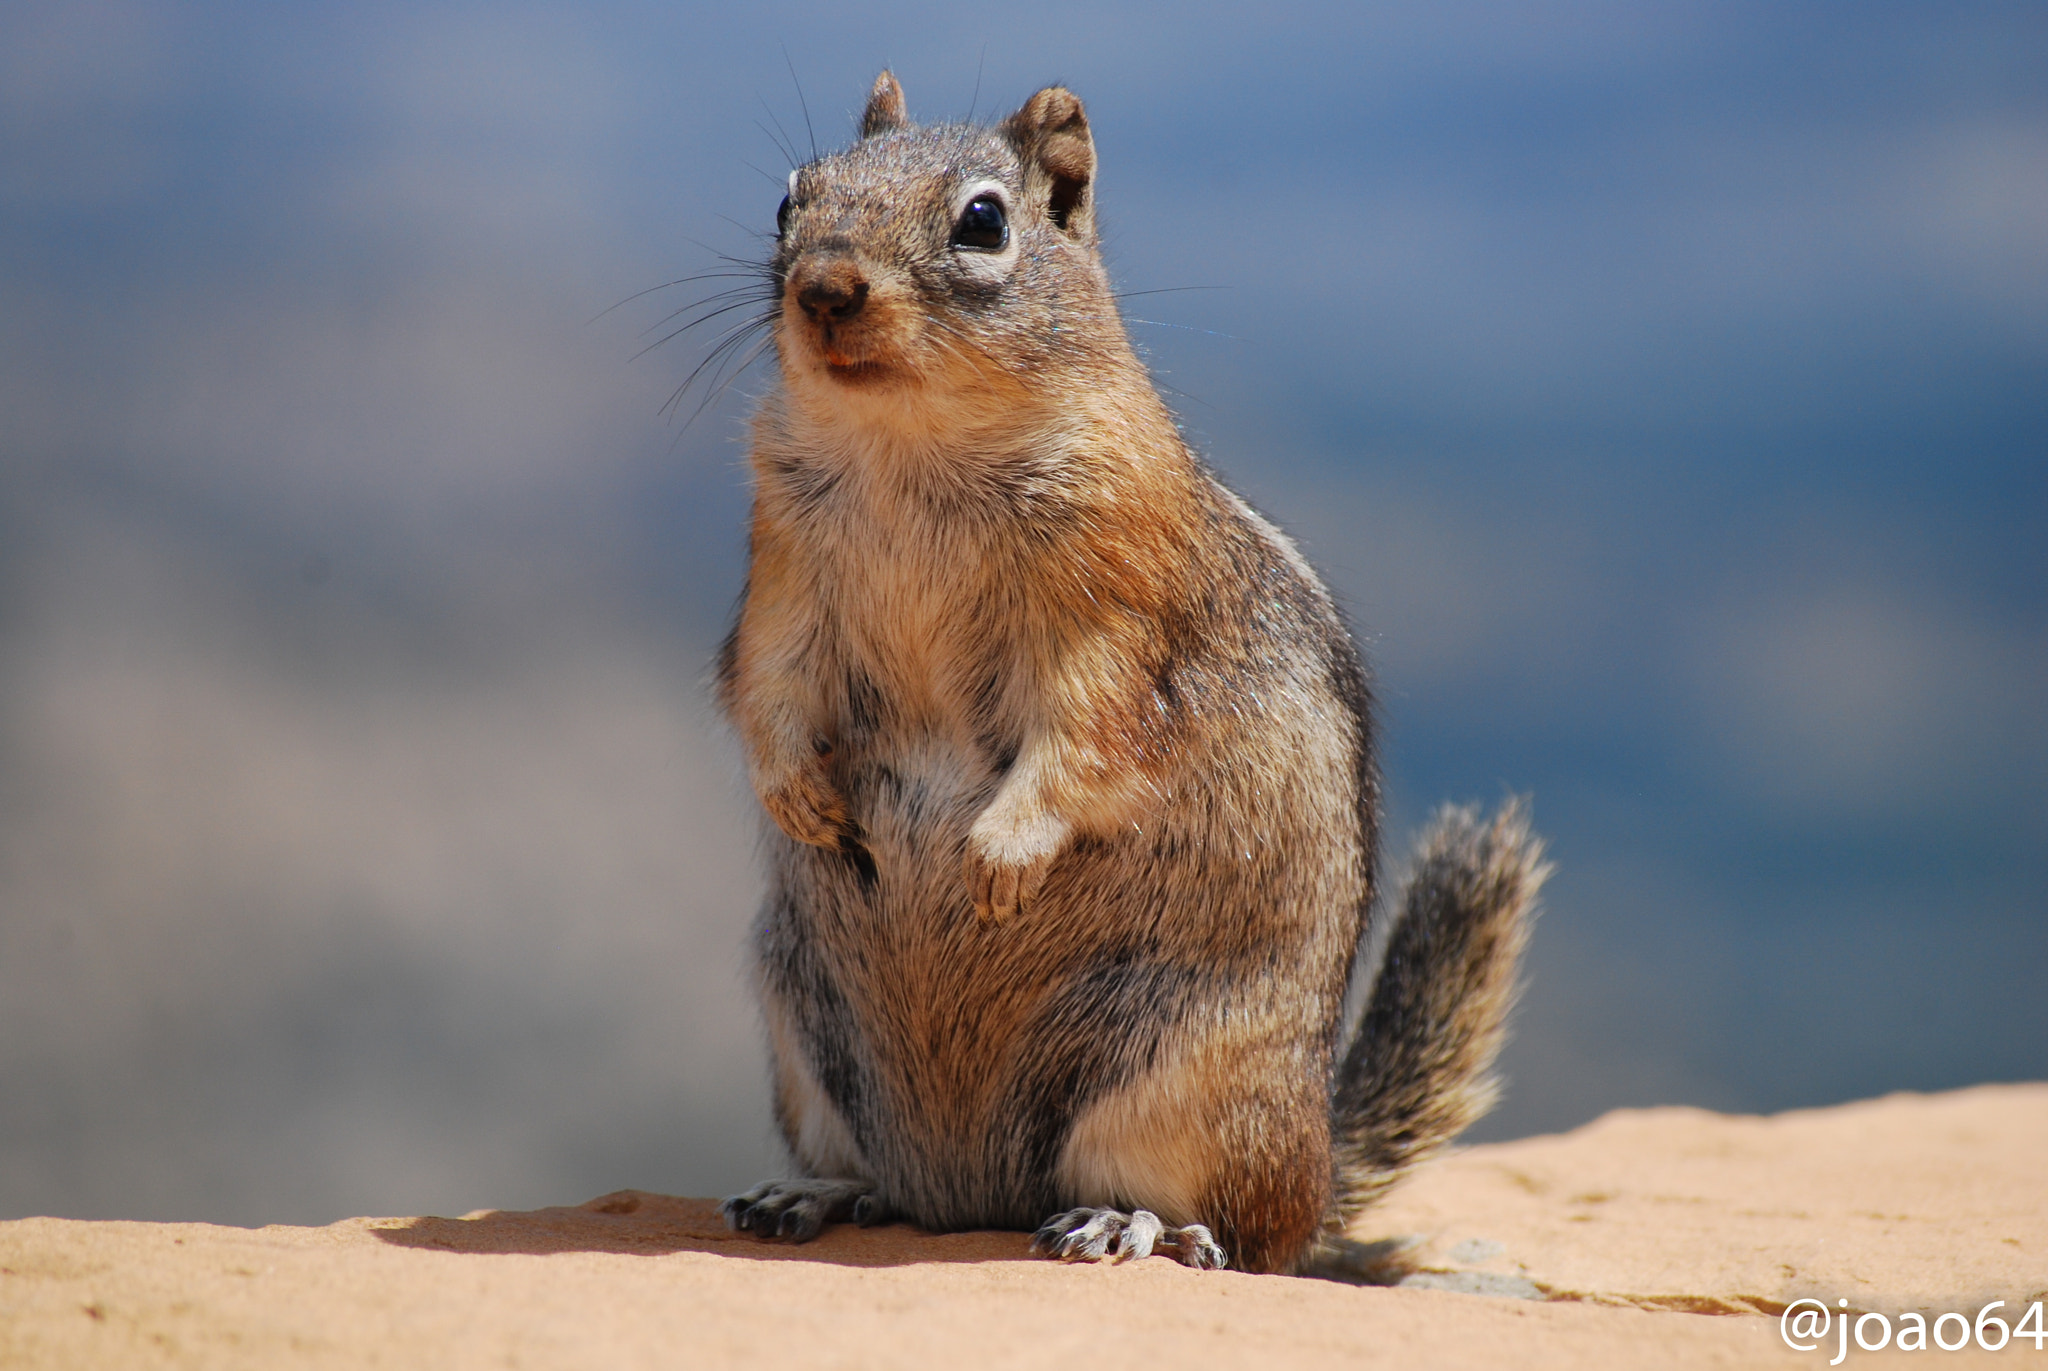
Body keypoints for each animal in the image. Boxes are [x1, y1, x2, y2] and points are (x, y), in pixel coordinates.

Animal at [713, 71, 1549, 1276]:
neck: (906, 441)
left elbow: (1088, 732)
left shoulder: (1117, 605)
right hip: (800, 1032)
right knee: (880, 1181)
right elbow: (766, 689)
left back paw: (1129, 1222)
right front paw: (800, 800)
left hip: (1183, 1077)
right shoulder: (779, 577)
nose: (823, 285)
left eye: (982, 221)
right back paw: (812, 1191)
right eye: (790, 198)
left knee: (1235, 1233)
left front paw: (1000, 857)